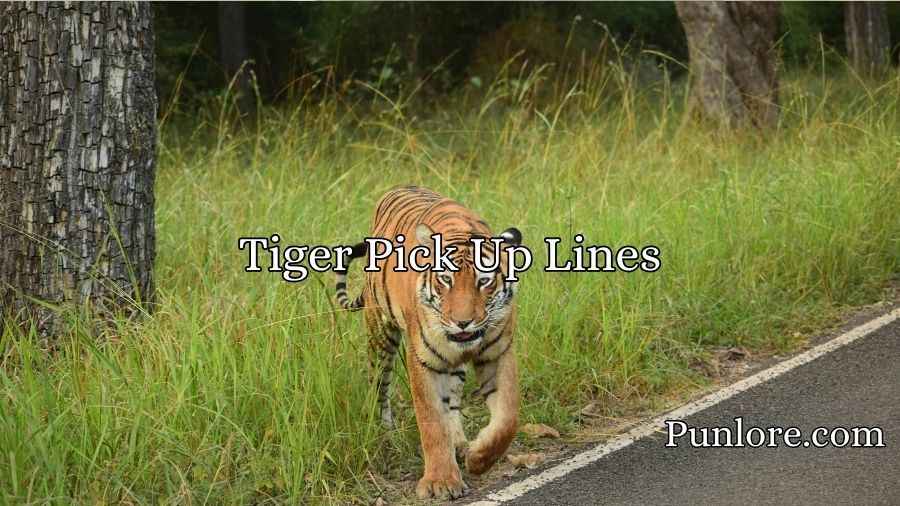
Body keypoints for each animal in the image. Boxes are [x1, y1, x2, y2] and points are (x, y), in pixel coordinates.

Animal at [334, 185, 522, 501]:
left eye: (484, 282)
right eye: (445, 280)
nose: (463, 322)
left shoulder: (497, 352)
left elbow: (507, 418)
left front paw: (478, 458)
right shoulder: (423, 360)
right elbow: (431, 420)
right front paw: (440, 482)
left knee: (453, 402)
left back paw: (459, 443)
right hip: (380, 333)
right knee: (379, 386)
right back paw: (386, 434)